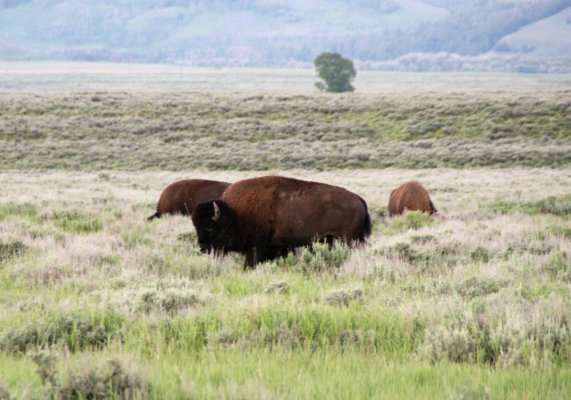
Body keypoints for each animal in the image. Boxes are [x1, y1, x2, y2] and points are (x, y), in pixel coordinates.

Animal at [190, 176, 374, 268]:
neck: (235, 214)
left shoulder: (255, 248)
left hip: (349, 240)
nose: (203, 248)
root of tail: (360, 199)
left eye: (210, 226)